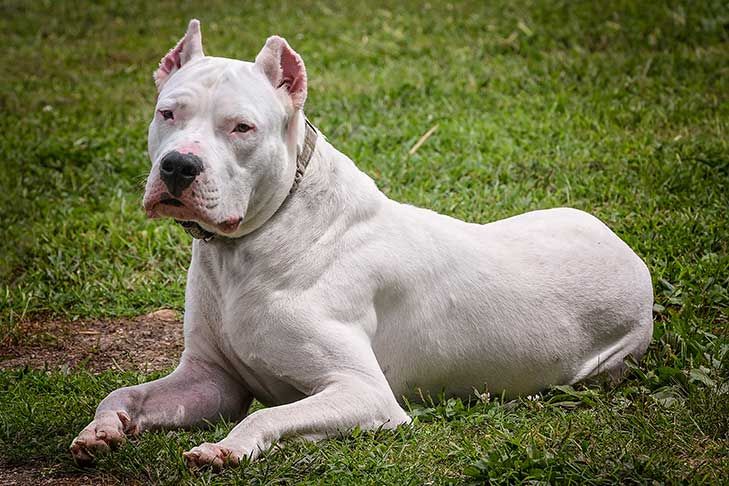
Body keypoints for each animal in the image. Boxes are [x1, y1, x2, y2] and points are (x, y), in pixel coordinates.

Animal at [71, 19, 656, 470]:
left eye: (241, 128)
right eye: (168, 113)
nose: (178, 166)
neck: (251, 243)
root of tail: (627, 252)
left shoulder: (365, 394)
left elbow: (268, 413)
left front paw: (227, 447)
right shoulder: (209, 379)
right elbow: (125, 392)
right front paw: (101, 430)